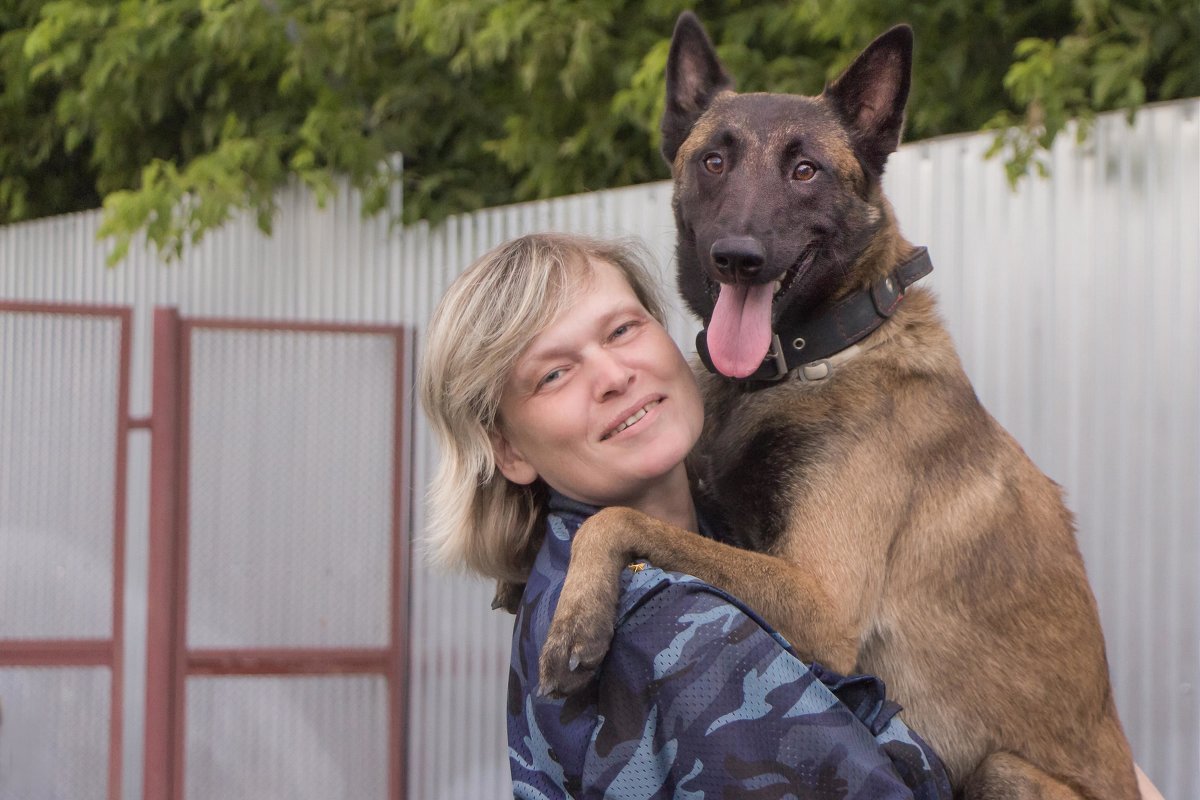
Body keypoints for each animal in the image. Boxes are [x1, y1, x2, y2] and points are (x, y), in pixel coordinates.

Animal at [537, 14, 1142, 800]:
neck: (809, 355)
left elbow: (615, 517)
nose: (738, 257)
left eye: (805, 171)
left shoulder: (820, 606)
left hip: (1004, 769)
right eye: (713, 162)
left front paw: (575, 621)